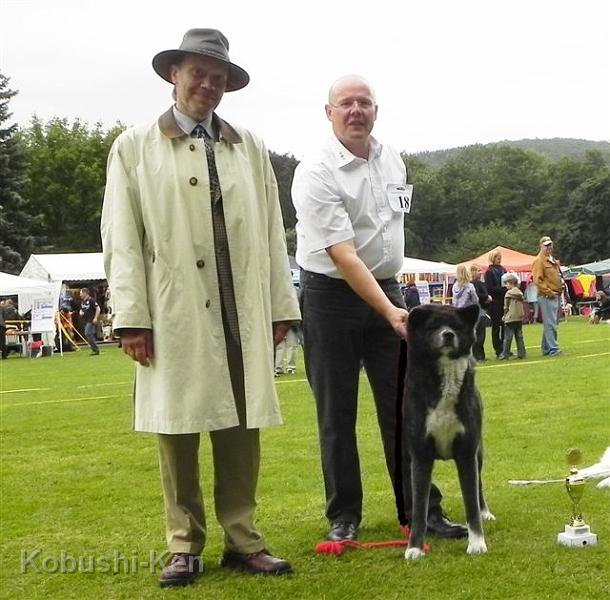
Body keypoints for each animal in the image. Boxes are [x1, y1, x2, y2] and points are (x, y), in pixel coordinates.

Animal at [404, 302, 494, 560]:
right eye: (433, 326)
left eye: (455, 326)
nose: (448, 335)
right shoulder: (420, 456)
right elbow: (419, 508)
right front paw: (414, 548)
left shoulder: (466, 453)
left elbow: (471, 502)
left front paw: (477, 543)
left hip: (478, 453)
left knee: (479, 487)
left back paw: (486, 512)